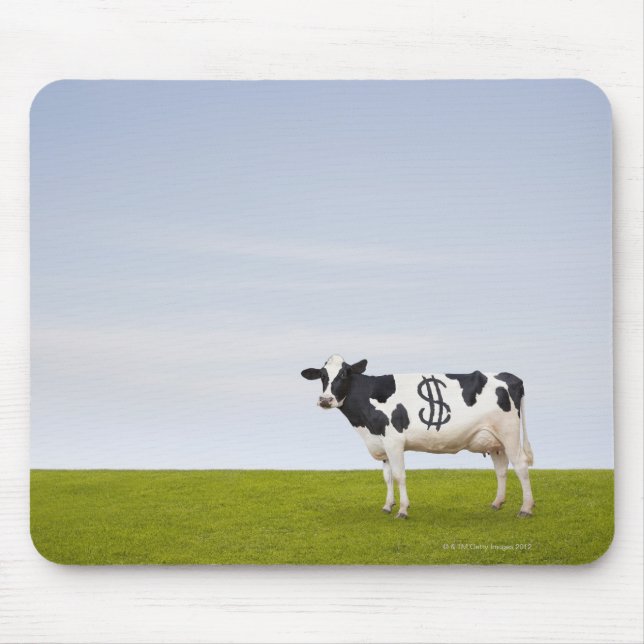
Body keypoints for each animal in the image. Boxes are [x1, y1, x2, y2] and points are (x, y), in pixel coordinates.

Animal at [301, 354, 534, 519]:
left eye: (344, 374)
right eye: (322, 376)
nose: (325, 399)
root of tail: (510, 376)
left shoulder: (394, 441)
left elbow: (399, 475)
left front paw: (403, 510)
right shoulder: (382, 442)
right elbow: (387, 477)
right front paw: (387, 506)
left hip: (510, 433)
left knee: (521, 466)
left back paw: (526, 508)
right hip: (495, 441)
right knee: (502, 470)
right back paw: (497, 503)